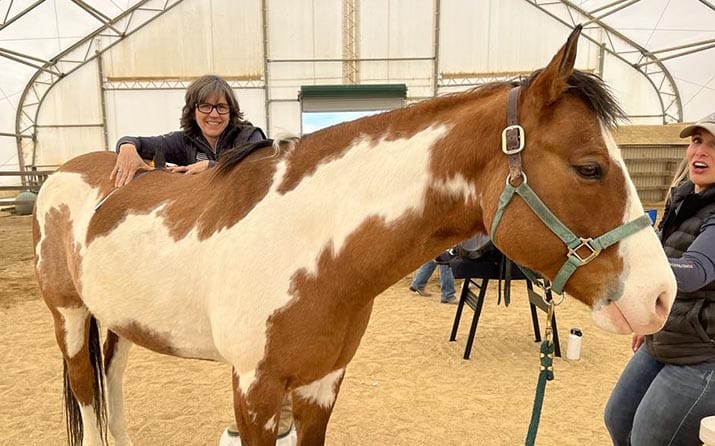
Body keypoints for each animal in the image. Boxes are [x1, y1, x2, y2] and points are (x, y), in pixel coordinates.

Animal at [32, 26, 676, 446]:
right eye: (589, 167)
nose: (661, 297)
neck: (308, 245)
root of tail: (60, 176)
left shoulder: (321, 384)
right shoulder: (255, 391)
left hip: (118, 320)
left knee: (112, 384)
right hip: (69, 317)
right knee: (86, 392)